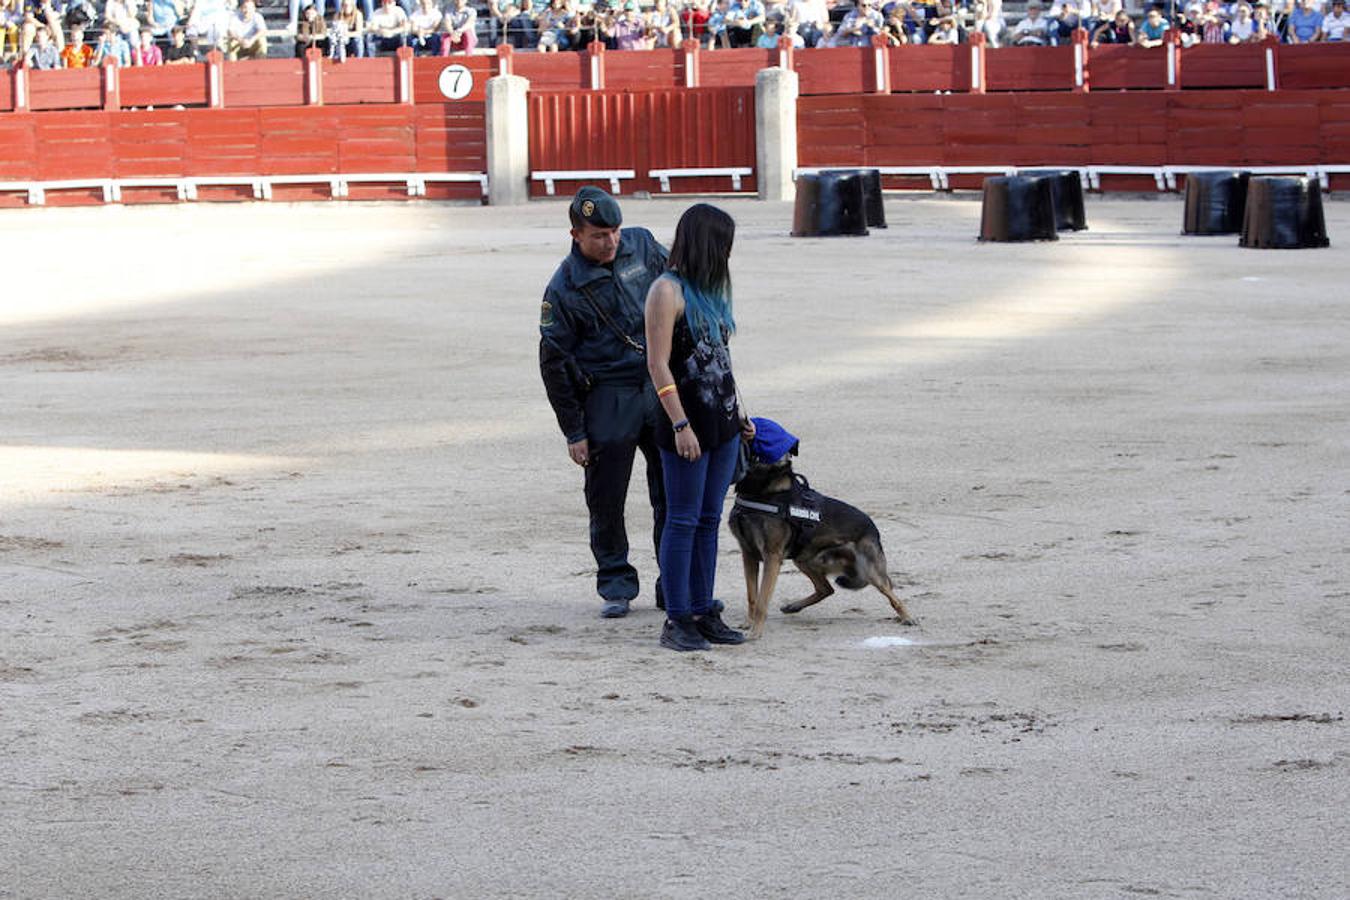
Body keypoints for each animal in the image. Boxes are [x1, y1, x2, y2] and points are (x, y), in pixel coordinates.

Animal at [729, 453, 918, 636]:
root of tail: (873, 528)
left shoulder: (772, 557)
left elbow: (762, 601)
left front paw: (755, 632)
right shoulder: (748, 554)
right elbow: (752, 596)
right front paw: (749, 623)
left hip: (870, 571)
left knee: (891, 594)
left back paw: (907, 617)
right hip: (804, 559)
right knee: (826, 589)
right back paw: (794, 606)